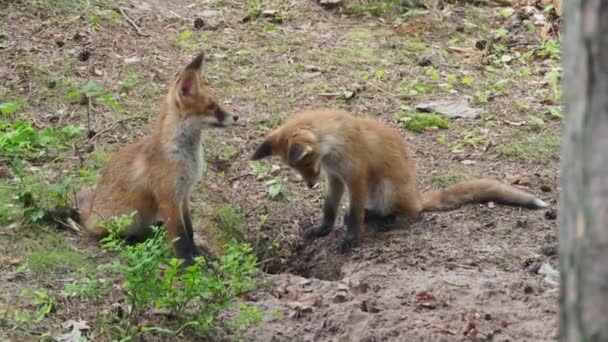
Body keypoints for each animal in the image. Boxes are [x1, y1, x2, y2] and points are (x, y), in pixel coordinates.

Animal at [73, 52, 238, 264]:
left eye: (216, 103)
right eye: (211, 106)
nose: (236, 117)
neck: (187, 157)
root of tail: (89, 214)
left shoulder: (184, 194)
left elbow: (190, 231)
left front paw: (198, 255)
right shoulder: (168, 197)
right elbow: (180, 237)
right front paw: (187, 265)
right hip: (130, 218)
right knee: (109, 235)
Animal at [252, 109, 548, 254]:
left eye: (305, 163)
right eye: (296, 168)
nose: (310, 185)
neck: (334, 146)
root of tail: (416, 195)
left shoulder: (356, 177)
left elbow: (353, 216)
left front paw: (351, 239)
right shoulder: (335, 177)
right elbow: (330, 210)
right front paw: (322, 230)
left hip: (385, 188)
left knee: (412, 215)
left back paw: (391, 223)